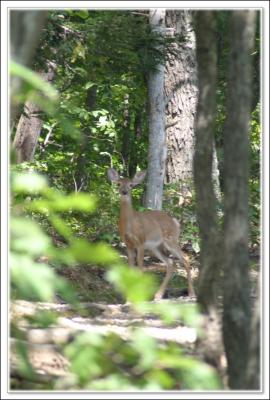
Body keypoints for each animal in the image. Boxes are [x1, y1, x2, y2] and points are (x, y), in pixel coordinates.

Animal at [107, 167, 194, 302]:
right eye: (118, 184)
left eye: (131, 185)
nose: (124, 192)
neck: (130, 223)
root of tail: (175, 222)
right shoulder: (128, 244)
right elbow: (130, 269)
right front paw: (128, 299)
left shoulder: (141, 242)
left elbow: (140, 268)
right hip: (156, 247)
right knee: (171, 263)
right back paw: (158, 295)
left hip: (170, 239)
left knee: (185, 258)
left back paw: (191, 293)